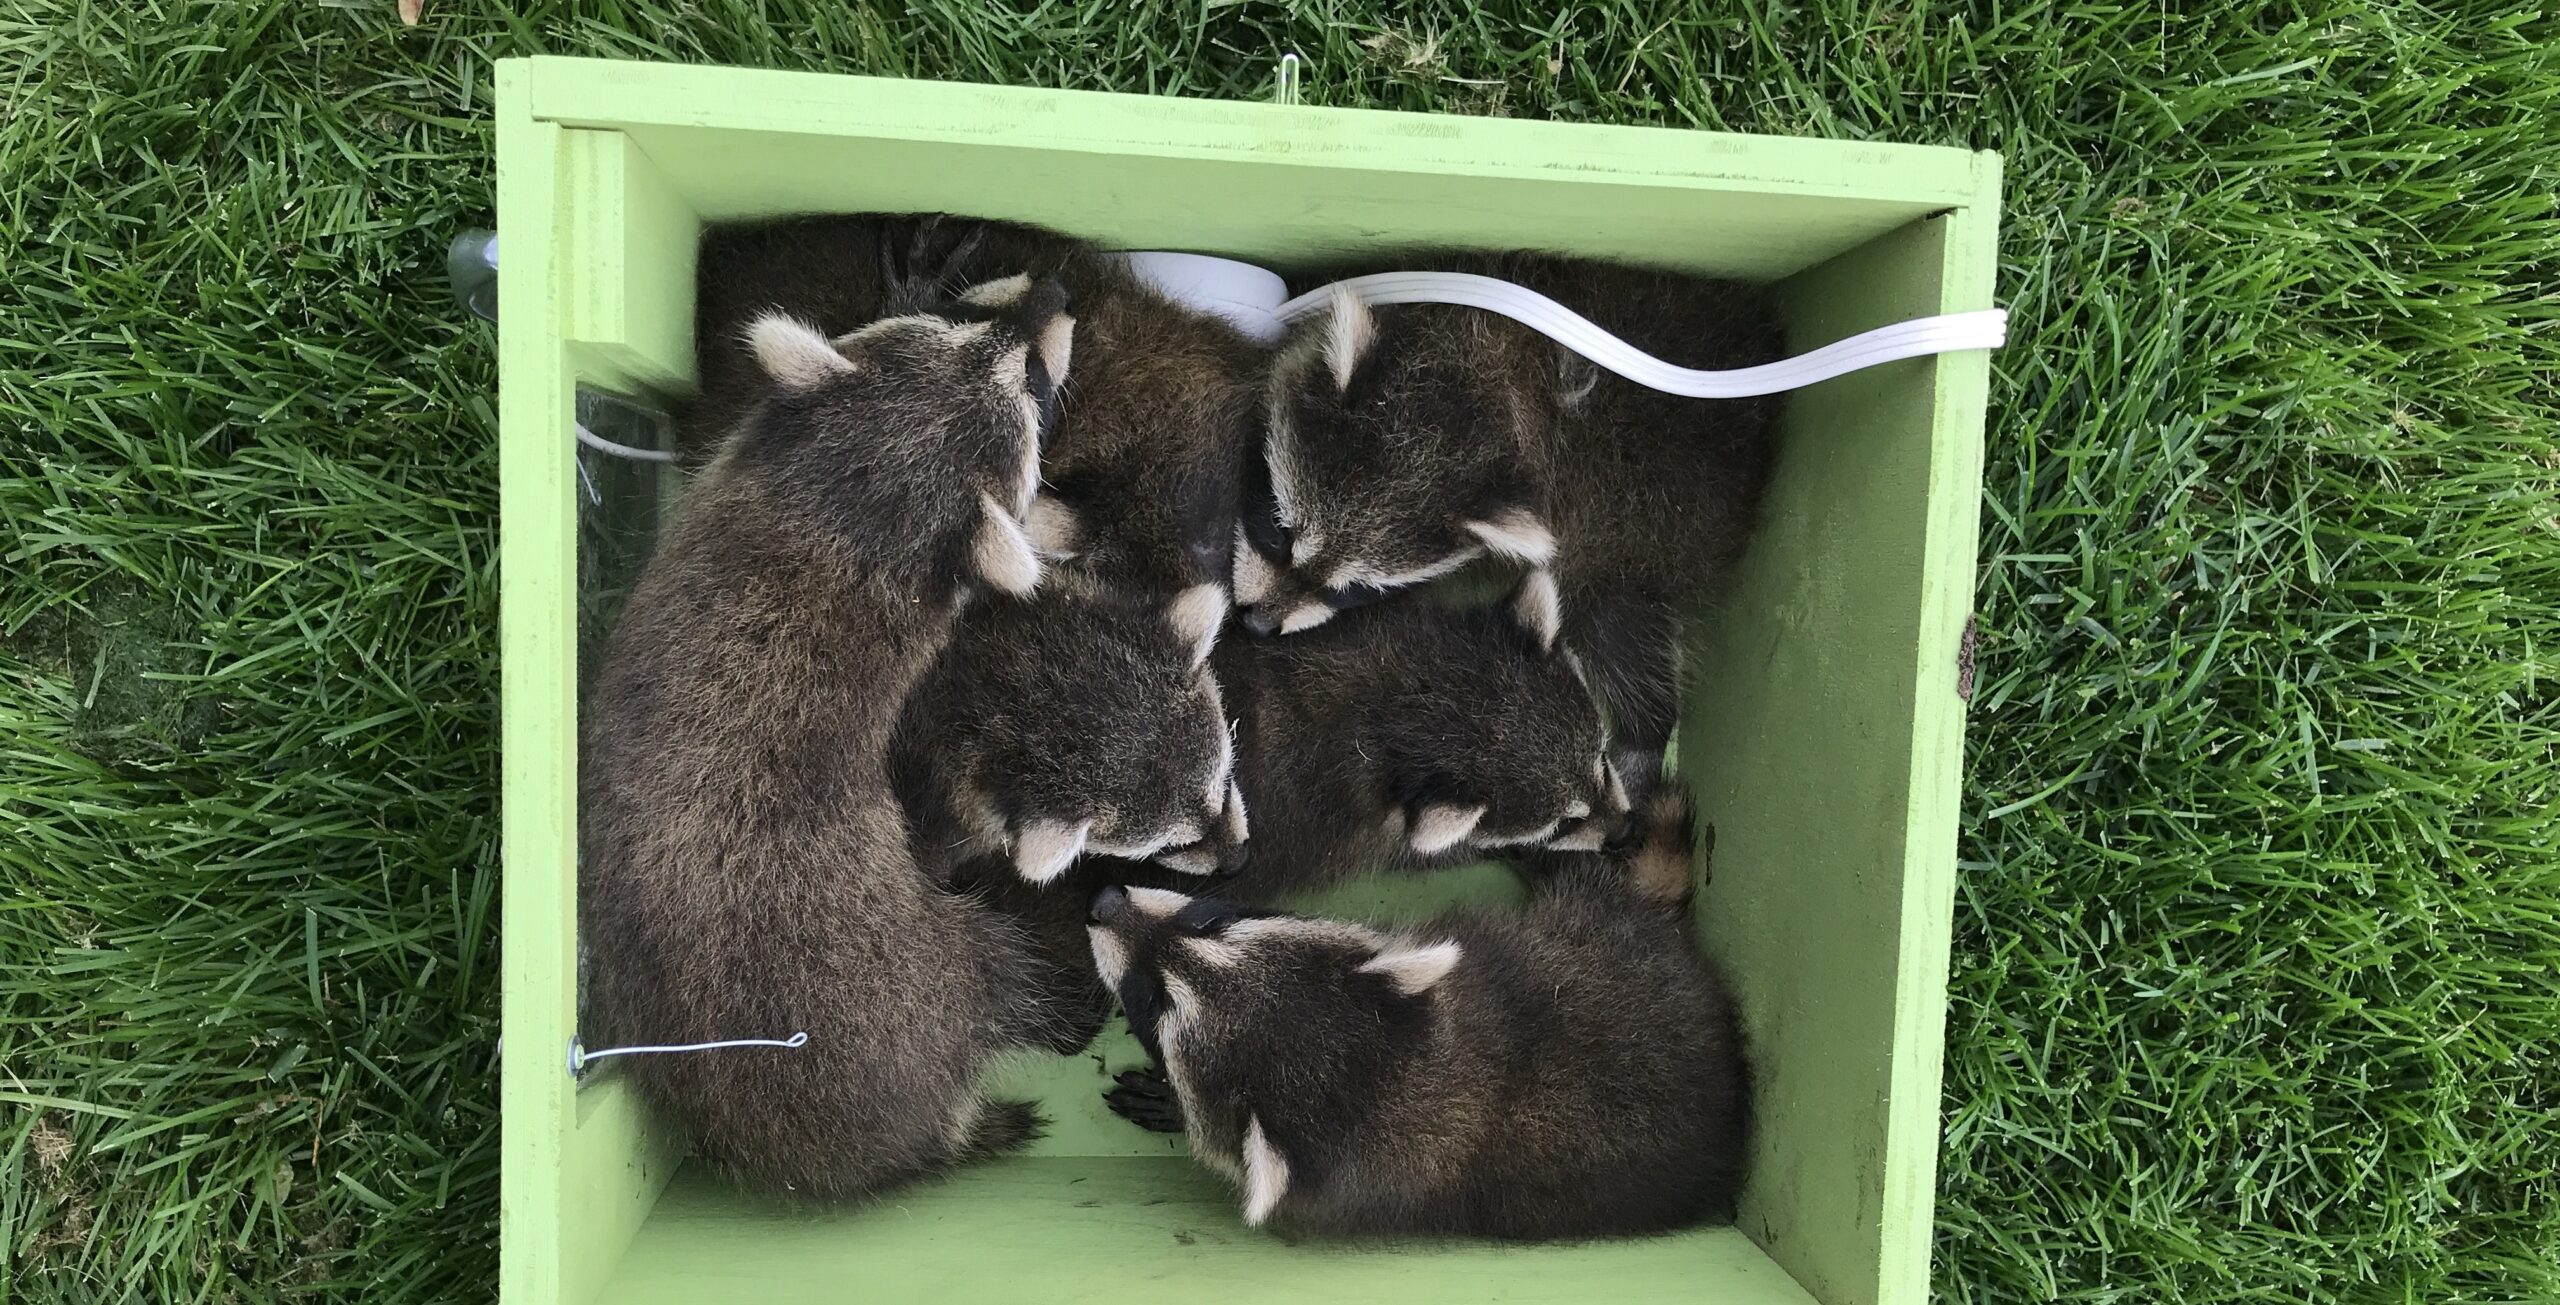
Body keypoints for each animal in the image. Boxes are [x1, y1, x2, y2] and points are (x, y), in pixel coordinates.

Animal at [1086, 793, 1749, 1240]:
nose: (1103, 901)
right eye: (1208, 922)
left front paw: (1173, 1106)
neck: (1418, 1082)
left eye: (1151, 1001)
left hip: (1600, 930)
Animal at [1237, 252, 1784, 805]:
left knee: (1621, 633)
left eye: (1353, 590)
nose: (1258, 624)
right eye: (1281, 534)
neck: (1480, 372)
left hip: (1640, 530)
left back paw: (1645, 733)